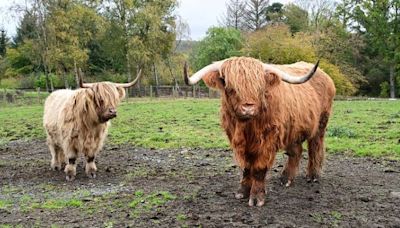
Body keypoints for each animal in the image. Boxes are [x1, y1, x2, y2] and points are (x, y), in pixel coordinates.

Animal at [186, 57, 336, 207]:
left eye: (259, 87)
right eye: (230, 85)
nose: (248, 108)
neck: (246, 127)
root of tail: (325, 75)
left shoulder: (268, 140)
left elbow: (259, 168)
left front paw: (257, 197)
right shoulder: (238, 140)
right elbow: (246, 167)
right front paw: (243, 191)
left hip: (320, 124)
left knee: (315, 147)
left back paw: (313, 176)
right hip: (292, 128)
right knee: (296, 151)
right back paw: (285, 179)